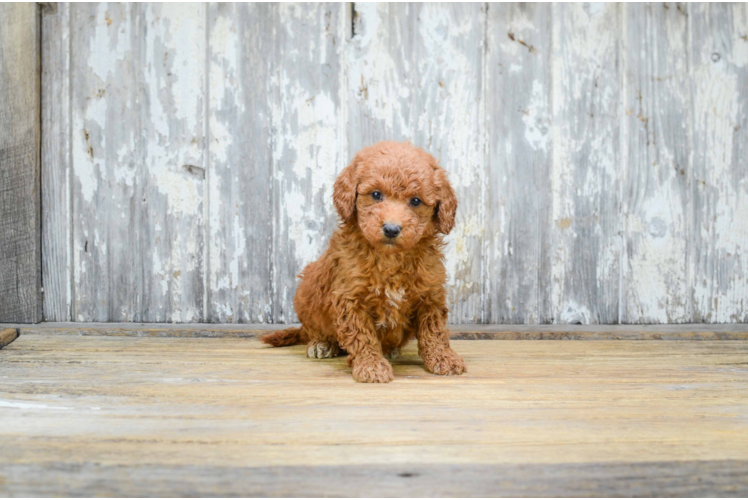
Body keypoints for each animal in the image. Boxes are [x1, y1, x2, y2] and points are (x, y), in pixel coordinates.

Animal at [260, 141, 464, 382]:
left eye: (416, 201)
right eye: (376, 194)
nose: (391, 229)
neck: (390, 257)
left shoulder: (430, 293)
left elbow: (434, 330)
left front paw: (444, 357)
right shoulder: (349, 297)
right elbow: (362, 335)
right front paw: (371, 365)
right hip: (307, 292)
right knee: (313, 329)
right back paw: (322, 343)